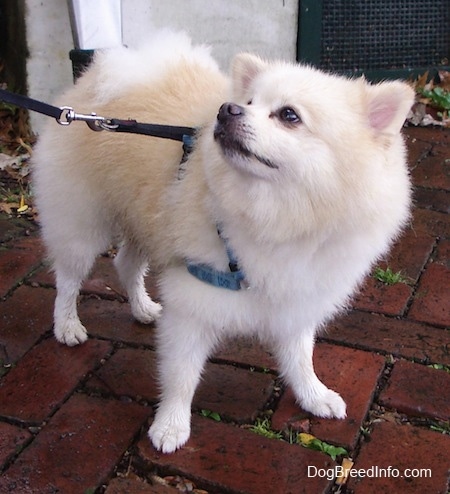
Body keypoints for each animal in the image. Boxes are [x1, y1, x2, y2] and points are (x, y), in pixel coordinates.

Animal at [31, 31, 414, 452]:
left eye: (289, 115)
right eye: (249, 103)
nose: (227, 109)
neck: (279, 219)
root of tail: (92, 84)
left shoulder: (296, 295)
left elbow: (300, 356)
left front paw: (314, 395)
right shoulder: (193, 300)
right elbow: (181, 375)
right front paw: (171, 425)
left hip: (146, 220)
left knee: (125, 264)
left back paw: (142, 308)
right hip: (82, 224)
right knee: (68, 279)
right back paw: (67, 326)